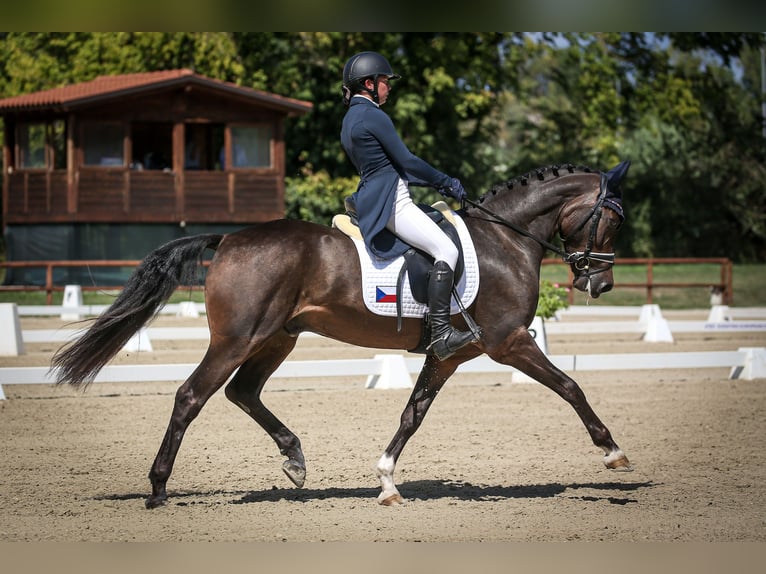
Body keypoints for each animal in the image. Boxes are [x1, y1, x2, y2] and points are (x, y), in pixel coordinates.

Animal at [51, 161, 632, 508]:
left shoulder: (448, 356)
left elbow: (413, 414)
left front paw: (387, 482)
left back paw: (294, 459)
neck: (504, 241)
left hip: (277, 338)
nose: (600, 283)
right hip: (238, 338)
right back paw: (157, 489)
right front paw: (612, 452)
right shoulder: (509, 342)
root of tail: (231, 238)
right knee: (192, 395)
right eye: (613, 220)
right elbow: (571, 386)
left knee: (242, 392)